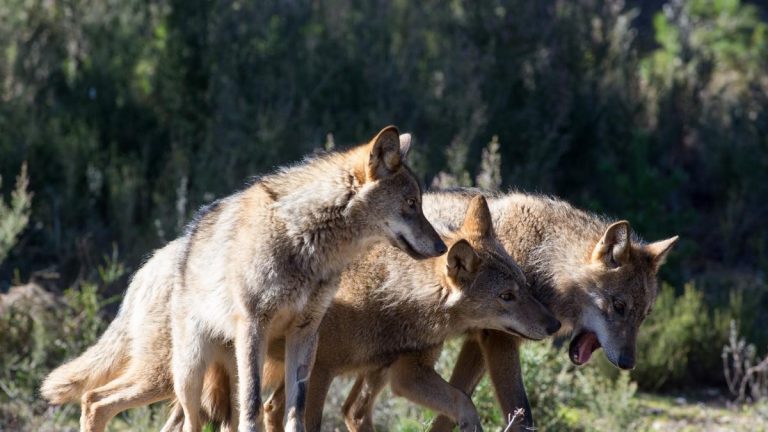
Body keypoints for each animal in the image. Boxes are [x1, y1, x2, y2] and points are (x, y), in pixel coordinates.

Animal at [41, 126, 447, 432]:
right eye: (411, 204)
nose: (443, 246)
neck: (305, 240)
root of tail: (149, 265)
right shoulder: (255, 325)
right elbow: (254, 407)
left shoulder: (305, 334)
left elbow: (295, 410)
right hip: (181, 375)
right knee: (100, 401)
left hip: (203, 375)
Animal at [228, 195, 560, 432]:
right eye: (506, 296)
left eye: (524, 285)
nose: (554, 325)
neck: (386, 295)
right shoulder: (321, 372)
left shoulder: (405, 373)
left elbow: (462, 399)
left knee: (318, 410)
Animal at [416, 190, 678, 430]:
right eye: (619, 306)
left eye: (644, 316)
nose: (627, 363)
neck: (541, 262)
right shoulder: (501, 342)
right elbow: (521, 414)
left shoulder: (479, 344)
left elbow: (451, 409)